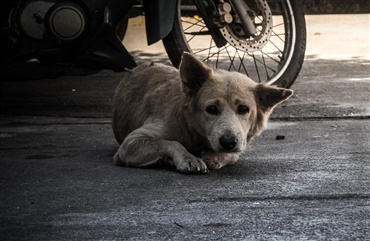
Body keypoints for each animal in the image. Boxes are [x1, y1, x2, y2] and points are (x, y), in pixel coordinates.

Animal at [111, 52, 294, 173]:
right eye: (211, 109)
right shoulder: (131, 143)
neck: (194, 133)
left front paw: (215, 156)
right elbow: (172, 143)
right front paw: (189, 158)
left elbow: (233, 155)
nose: (228, 142)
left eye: (243, 109)